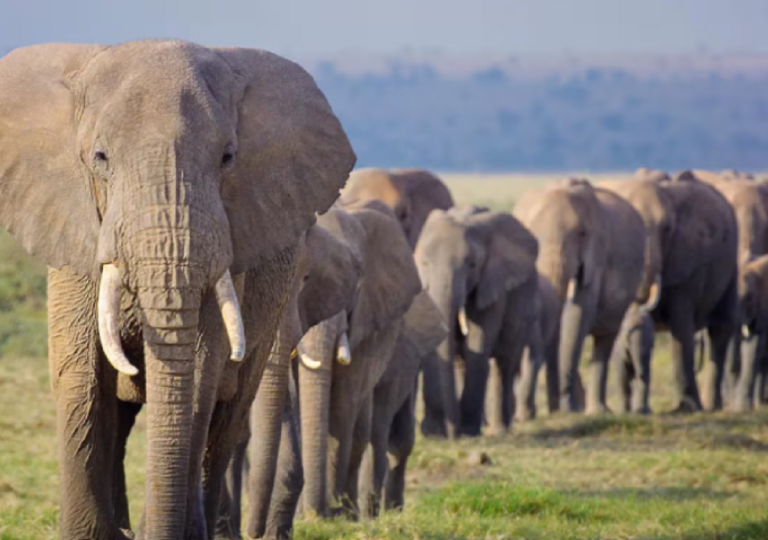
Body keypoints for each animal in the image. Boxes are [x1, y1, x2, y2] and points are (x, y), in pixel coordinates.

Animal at [0, 40, 355, 540]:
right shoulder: (74, 229)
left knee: (226, 422)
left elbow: (201, 372)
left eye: (228, 157)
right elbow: (80, 373)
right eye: (100, 157)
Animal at [296, 200, 423, 518]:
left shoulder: (368, 319)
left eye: (357, 280)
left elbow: (343, 402)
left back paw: (351, 512)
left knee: (360, 432)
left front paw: (330, 512)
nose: (316, 512)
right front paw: (310, 514)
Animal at [415, 205, 539, 438]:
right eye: (423, 263)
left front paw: (467, 431)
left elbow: (477, 343)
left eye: (472, 265)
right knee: (461, 362)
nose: (451, 435)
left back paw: (499, 429)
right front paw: (435, 433)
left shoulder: (492, 285)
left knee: (505, 362)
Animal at [514, 179, 649, 415]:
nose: (557, 407)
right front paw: (559, 409)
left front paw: (567, 408)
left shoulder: (597, 254)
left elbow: (579, 310)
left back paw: (597, 411)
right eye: (530, 235)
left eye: (582, 234)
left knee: (605, 340)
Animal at [598, 170, 739, 412]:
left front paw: (686, 409)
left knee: (721, 329)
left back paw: (712, 407)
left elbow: (681, 324)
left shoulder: (689, 259)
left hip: (732, 265)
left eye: (667, 230)